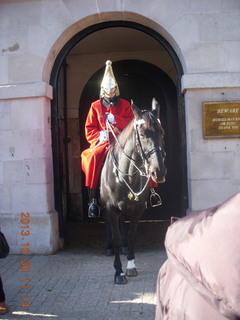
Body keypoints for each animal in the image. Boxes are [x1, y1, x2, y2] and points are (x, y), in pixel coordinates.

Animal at [100, 99, 166, 284]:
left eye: (162, 132)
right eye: (142, 134)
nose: (159, 172)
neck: (127, 175)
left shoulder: (138, 208)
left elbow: (131, 235)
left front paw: (130, 266)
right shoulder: (111, 209)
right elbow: (116, 237)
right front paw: (118, 272)